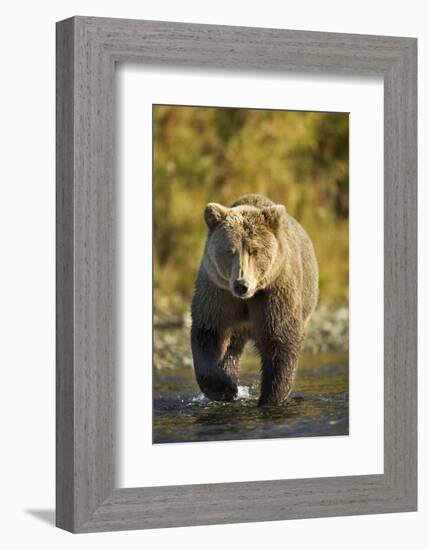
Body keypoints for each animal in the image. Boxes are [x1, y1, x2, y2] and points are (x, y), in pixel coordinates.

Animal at [191, 194, 318, 406]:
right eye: (230, 250)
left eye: (254, 250)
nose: (241, 284)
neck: (248, 298)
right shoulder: (218, 293)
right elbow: (208, 332)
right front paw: (224, 388)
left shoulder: (274, 292)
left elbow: (279, 339)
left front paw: (270, 397)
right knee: (232, 348)